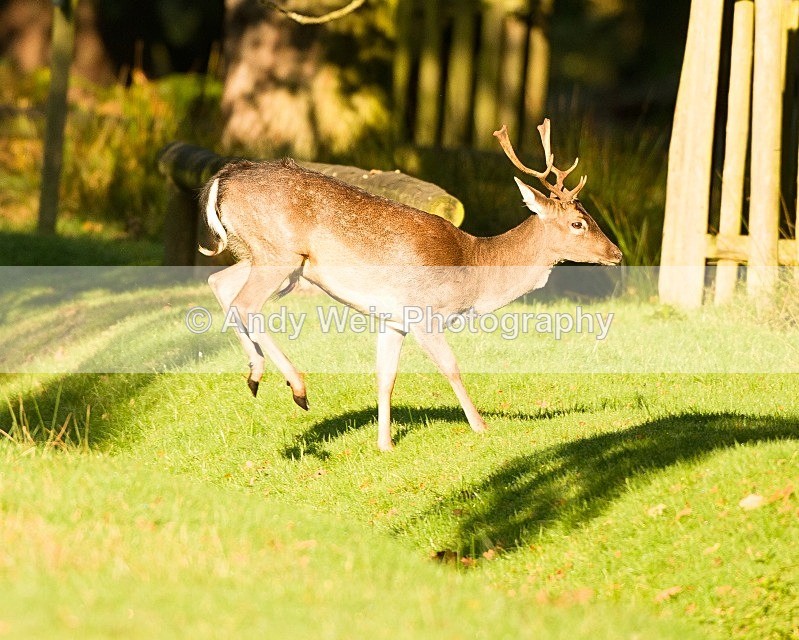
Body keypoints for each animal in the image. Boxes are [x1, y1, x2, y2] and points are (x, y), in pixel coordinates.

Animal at [199, 119, 622, 451]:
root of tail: (224, 177)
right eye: (578, 223)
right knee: (245, 302)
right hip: (280, 253)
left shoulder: (393, 319)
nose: (616, 252)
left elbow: (385, 377)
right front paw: (481, 426)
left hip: (265, 256)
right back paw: (296, 388)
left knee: (219, 281)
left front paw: (384, 444)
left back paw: (257, 375)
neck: (474, 270)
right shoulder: (423, 311)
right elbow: (451, 366)